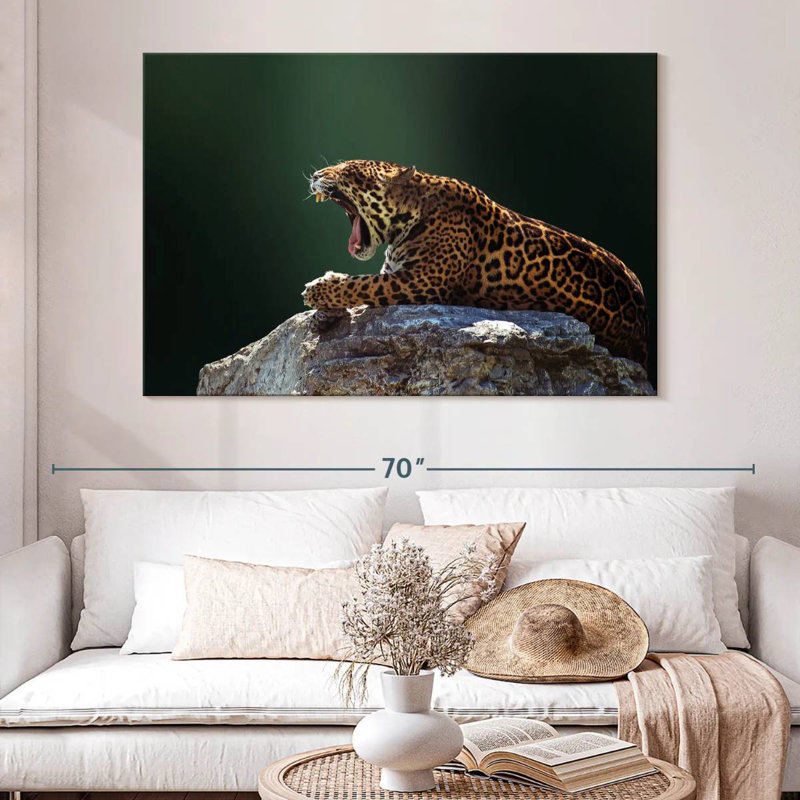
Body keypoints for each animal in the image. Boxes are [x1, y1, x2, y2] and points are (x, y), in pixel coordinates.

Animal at [303, 159, 649, 368]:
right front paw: (324, 307)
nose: (316, 176)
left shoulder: (419, 283)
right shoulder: (397, 273)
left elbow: (363, 285)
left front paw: (318, 290)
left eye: (347, 172)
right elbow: (359, 284)